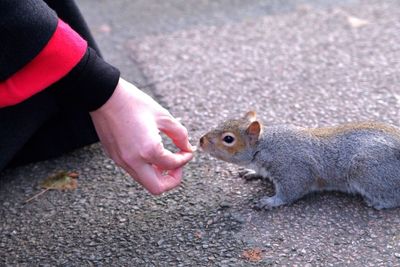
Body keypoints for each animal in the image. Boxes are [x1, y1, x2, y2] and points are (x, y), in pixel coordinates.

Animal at [200, 111, 400, 211]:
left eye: (228, 139)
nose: (201, 140)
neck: (265, 147)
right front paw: (251, 172)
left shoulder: (293, 169)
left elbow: (291, 191)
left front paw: (270, 202)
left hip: (368, 172)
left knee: (393, 196)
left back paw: (378, 203)